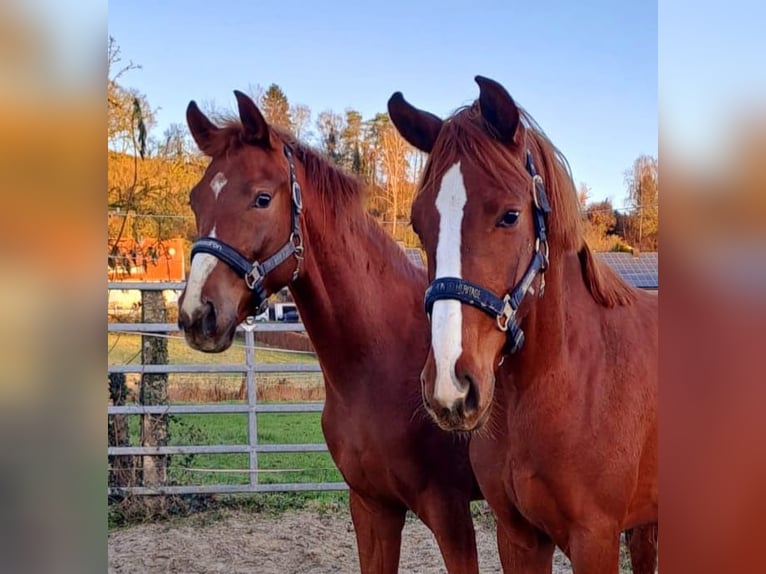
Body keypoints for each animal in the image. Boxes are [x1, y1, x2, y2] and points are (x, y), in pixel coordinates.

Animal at [176, 92, 484, 572]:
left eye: (262, 198)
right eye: (196, 199)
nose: (197, 314)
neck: (380, 363)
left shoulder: (451, 515)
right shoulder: (371, 507)